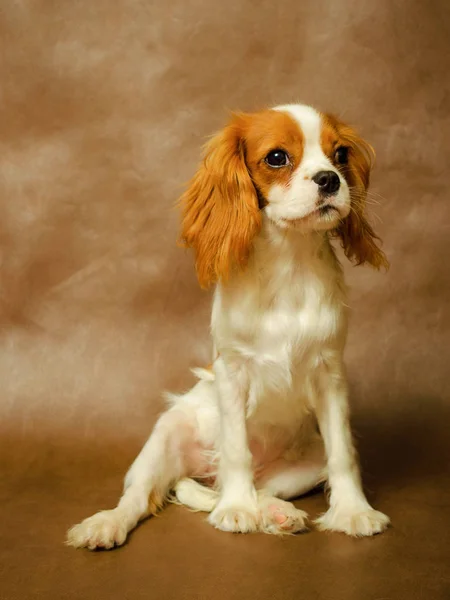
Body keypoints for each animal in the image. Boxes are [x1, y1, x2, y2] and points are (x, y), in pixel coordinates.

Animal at [66, 103, 390, 548]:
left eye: (339, 154)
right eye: (277, 157)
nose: (329, 178)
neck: (289, 264)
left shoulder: (331, 376)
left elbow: (343, 454)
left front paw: (354, 511)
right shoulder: (233, 374)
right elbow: (237, 449)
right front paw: (236, 510)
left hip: (305, 465)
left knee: (263, 486)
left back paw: (277, 513)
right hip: (164, 438)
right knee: (140, 497)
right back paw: (107, 524)